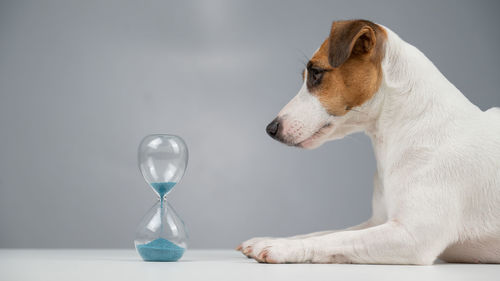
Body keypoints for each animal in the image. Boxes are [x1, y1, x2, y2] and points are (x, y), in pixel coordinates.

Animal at [236, 19, 500, 262]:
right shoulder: (379, 221)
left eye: (316, 73)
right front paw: (270, 239)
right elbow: (325, 233)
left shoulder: (413, 235)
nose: (270, 129)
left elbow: (336, 238)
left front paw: (282, 247)